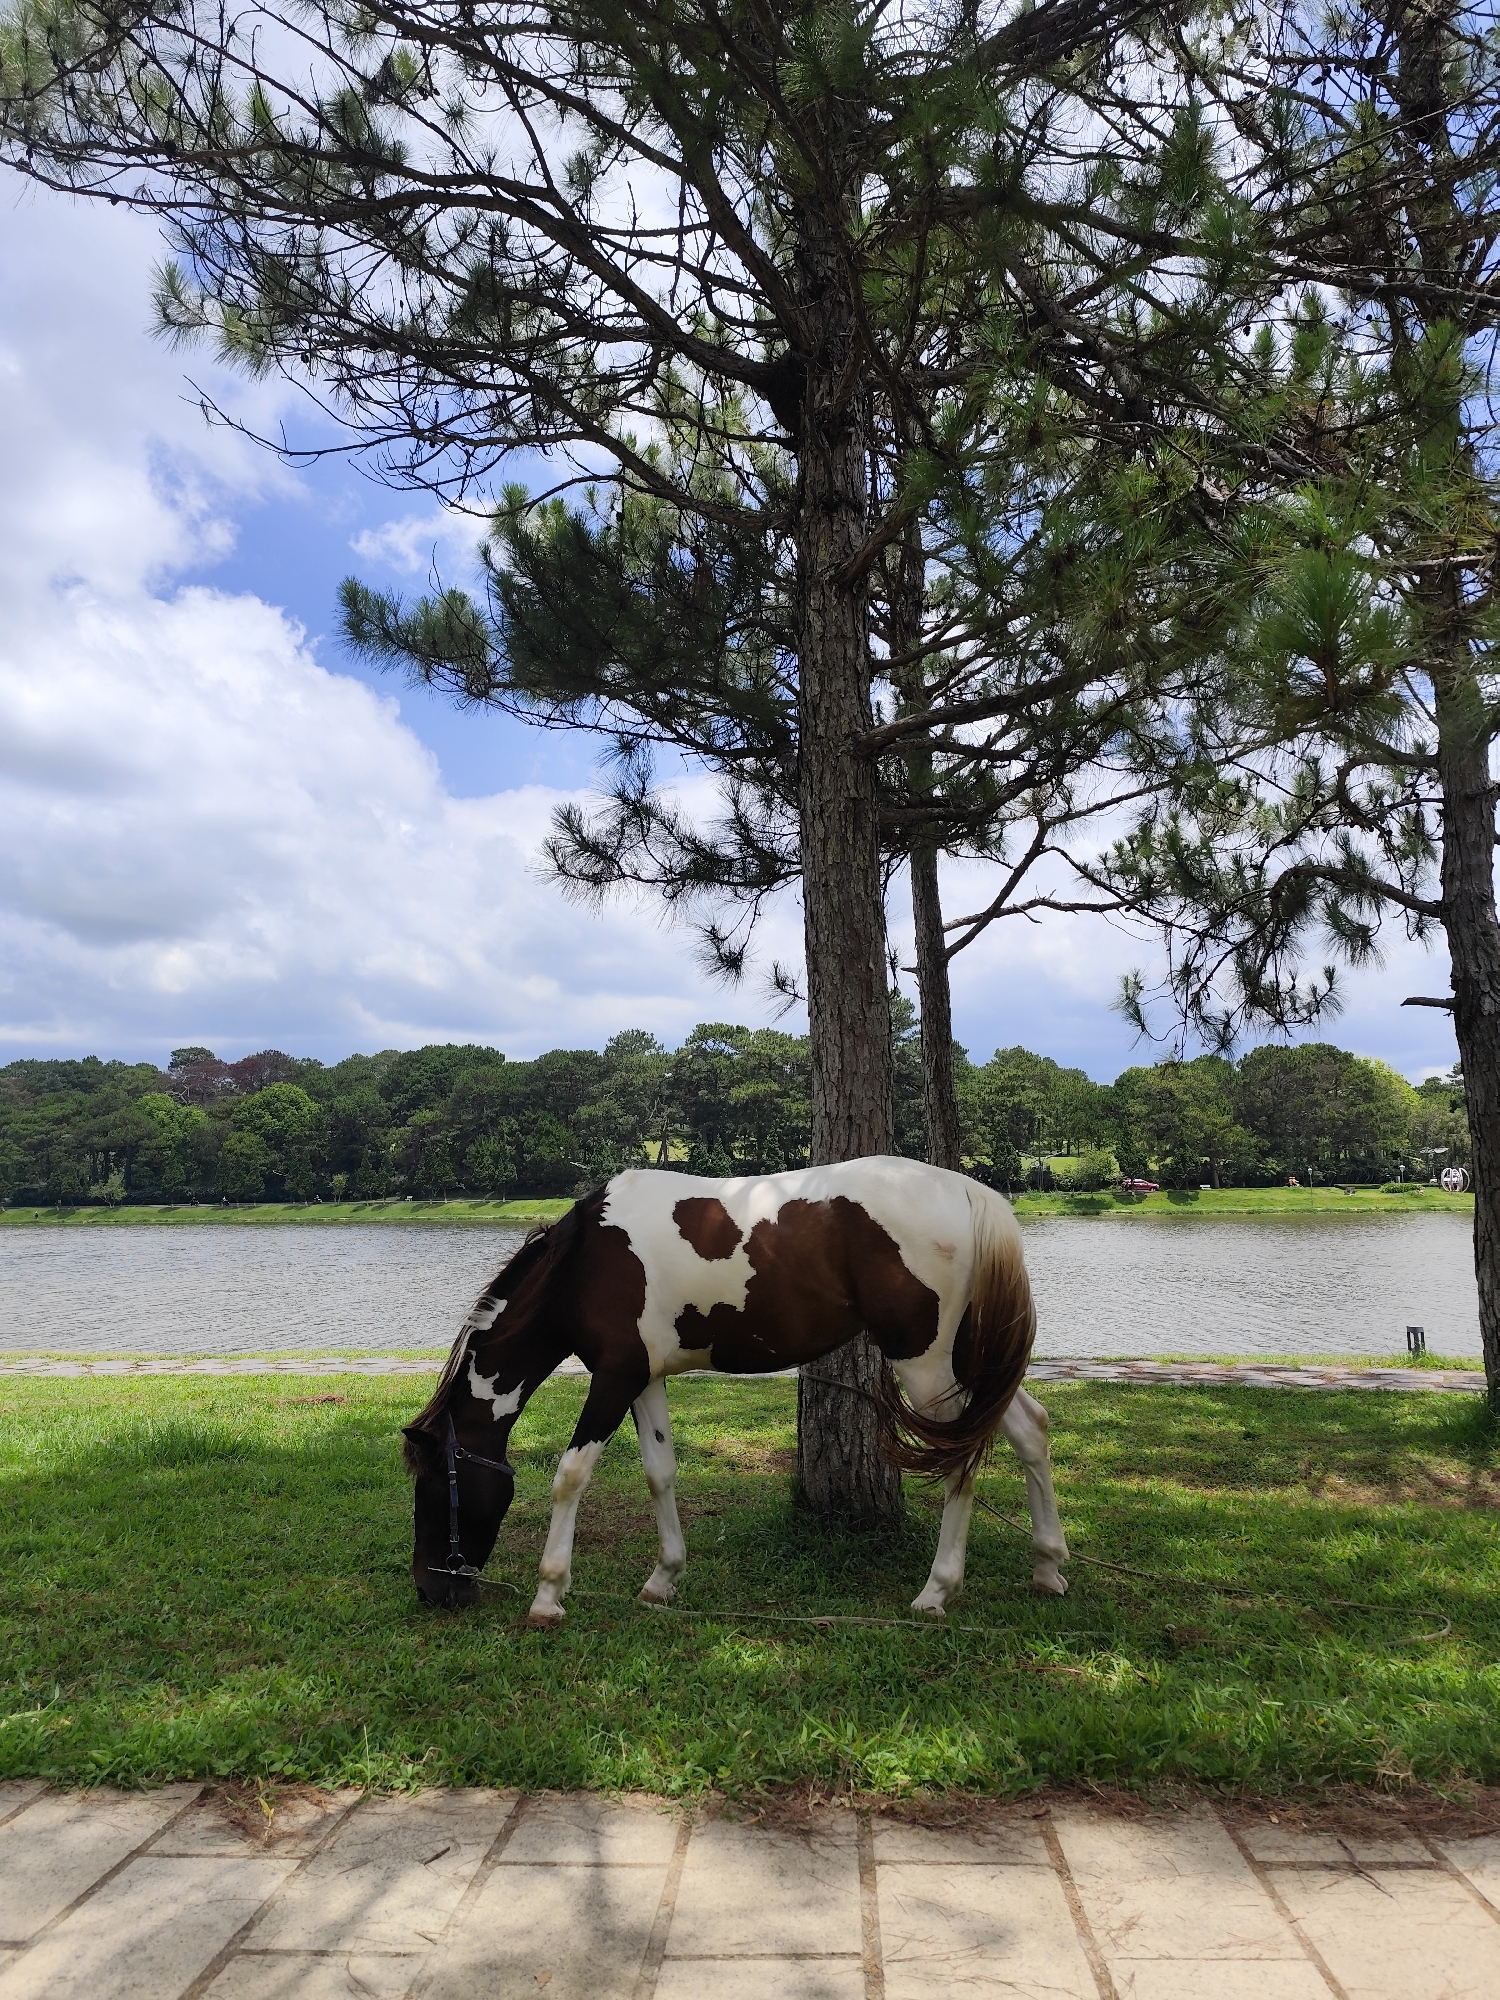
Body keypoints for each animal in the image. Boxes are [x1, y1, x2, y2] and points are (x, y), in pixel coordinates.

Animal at [401, 1156, 1070, 1624]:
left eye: (433, 1490)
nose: (433, 1591)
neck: (586, 1262)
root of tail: (968, 1191)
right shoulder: (644, 1378)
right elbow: (660, 1472)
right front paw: (663, 1579)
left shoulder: (613, 1380)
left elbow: (571, 1475)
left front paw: (547, 1595)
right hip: (966, 1367)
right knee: (1028, 1430)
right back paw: (1048, 1567)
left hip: (925, 1366)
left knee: (962, 1460)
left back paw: (936, 1591)